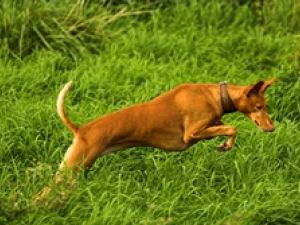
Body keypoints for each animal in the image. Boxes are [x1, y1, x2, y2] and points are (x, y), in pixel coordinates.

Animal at [34, 78, 276, 200]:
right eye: (258, 107)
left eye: (265, 106)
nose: (272, 128)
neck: (216, 95)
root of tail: (81, 130)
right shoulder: (191, 133)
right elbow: (232, 128)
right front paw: (226, 144)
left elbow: (224, 126)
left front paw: (225, 142)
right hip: (72, 169)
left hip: (75, 169)